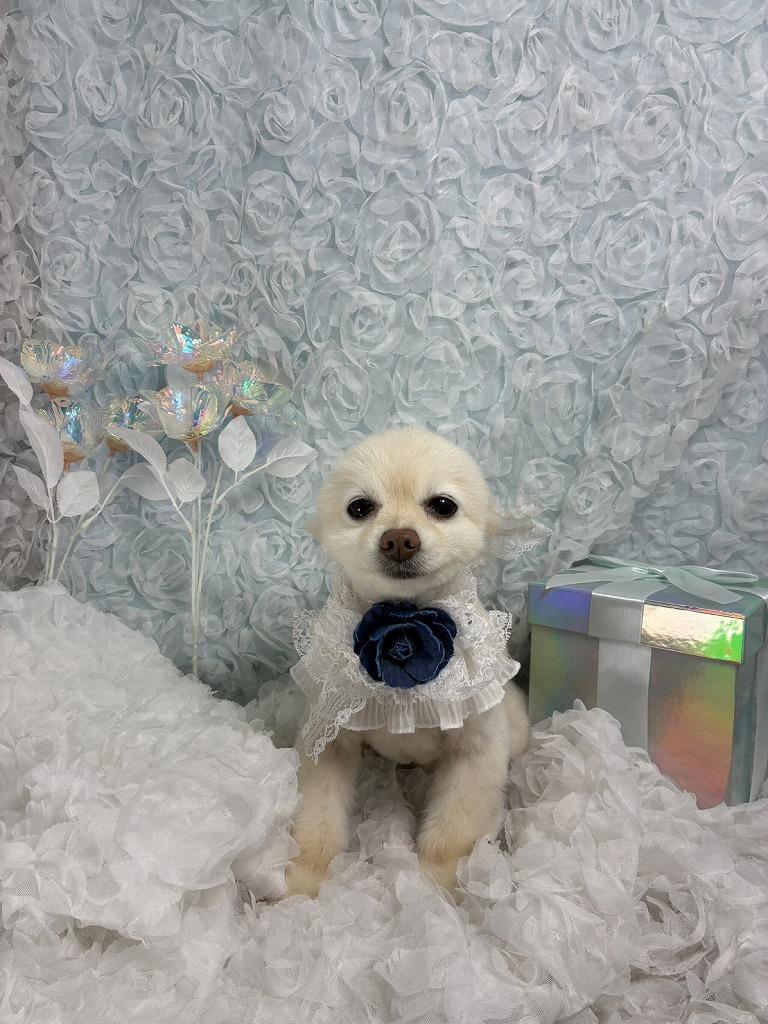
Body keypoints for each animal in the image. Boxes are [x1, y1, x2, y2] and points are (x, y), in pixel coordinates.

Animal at [284, 426, 529, 897]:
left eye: (443, 505)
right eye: (359, 508)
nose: (399, 538)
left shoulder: (476, 751)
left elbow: (454, 828)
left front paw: (436, 885)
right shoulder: (328, 740)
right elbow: (316, 817)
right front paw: (306, 876)